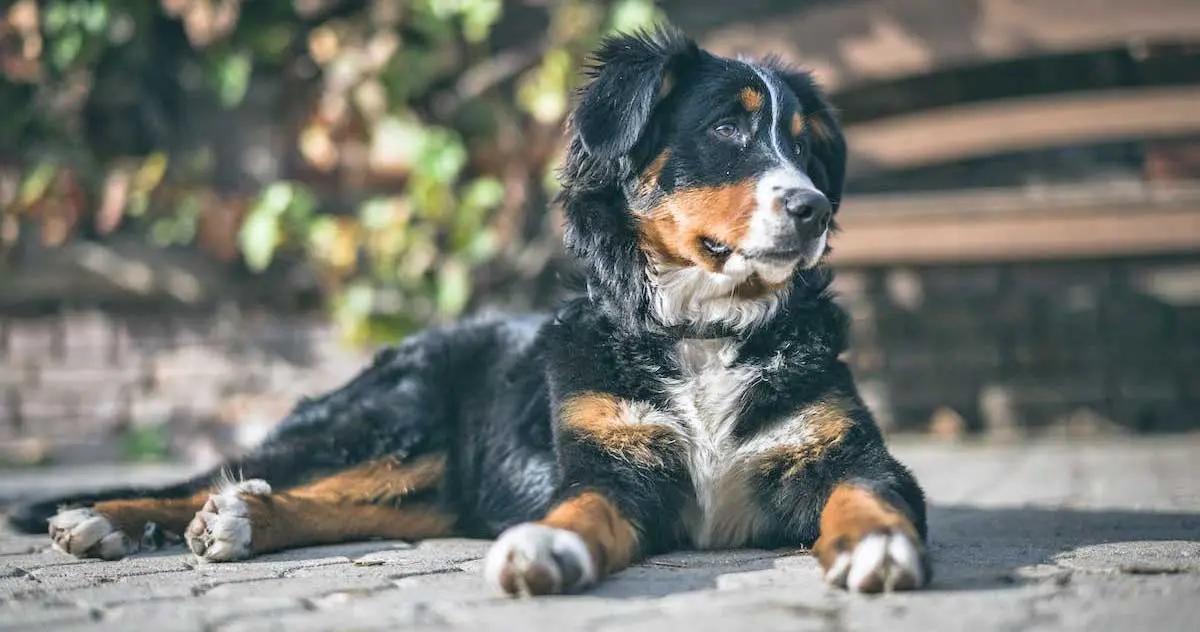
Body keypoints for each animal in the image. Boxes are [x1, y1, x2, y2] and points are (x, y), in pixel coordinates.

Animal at [4, 25, 931, 599]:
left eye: (807, 145)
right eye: (729, 131)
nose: (812, 207)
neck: (704, 333)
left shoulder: (846, 453)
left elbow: (868, 494)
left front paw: (875, 546)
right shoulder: (611, 469)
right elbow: (579, 509)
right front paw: (547, 548)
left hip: (427, 479)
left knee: (326, 502)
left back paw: (241, 520)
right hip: (389, 421)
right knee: (216, 476)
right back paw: (106, 519)